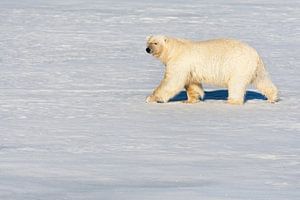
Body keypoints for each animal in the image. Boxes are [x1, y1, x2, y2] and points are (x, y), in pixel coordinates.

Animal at [145, 35, 278, 104]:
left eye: (155, 43)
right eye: (148, 42)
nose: (147, 49)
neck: (174, 50)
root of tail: (255, 53)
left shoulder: (180, 62)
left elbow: (172, 81)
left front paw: (151, 98)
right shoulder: (189, 68)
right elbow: (192, 84)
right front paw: (190, 100)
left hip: (238, 65)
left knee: (236, 84)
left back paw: (231, 101)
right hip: (255, 67)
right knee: (262, 80)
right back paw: (273, 97)